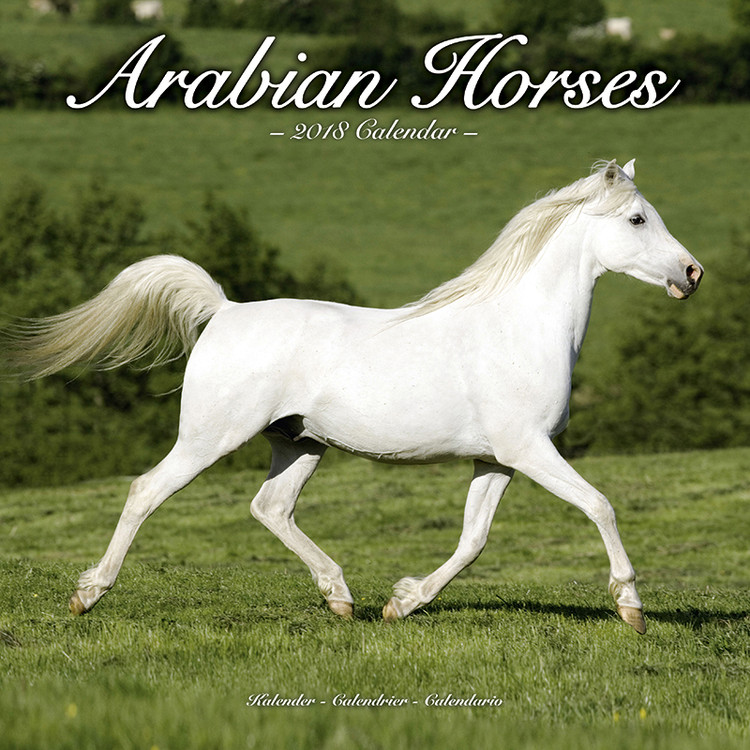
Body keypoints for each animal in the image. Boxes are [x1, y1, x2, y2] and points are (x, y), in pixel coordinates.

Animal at [6, 160, 703, 633]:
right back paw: (87, 594)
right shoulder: (530, 450)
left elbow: (473, 540)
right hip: (211, 437)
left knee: (271, 508)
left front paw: (402, 602)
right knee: (146, 491)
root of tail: (224, 311)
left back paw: (340, 598)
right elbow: (600, 506)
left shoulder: (497, 459)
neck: (520, 329)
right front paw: (632, 608)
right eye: (637, 219)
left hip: (300, 442)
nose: (692, 274)